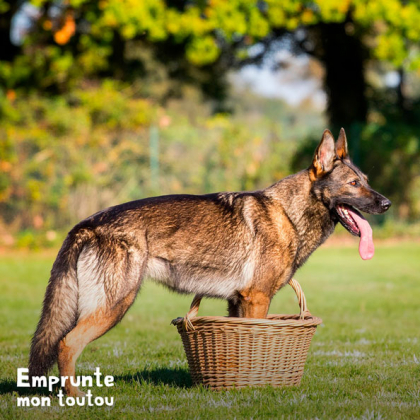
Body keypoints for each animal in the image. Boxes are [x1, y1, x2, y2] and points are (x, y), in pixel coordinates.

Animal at [28, 126, 390, 396]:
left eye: (367, 181)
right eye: (353, 184)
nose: (386, 203)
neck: (289, 214)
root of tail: (87, 223)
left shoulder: (238, 302)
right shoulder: (257, 299)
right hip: (114, 306)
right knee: (67, 344)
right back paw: (75, 397)